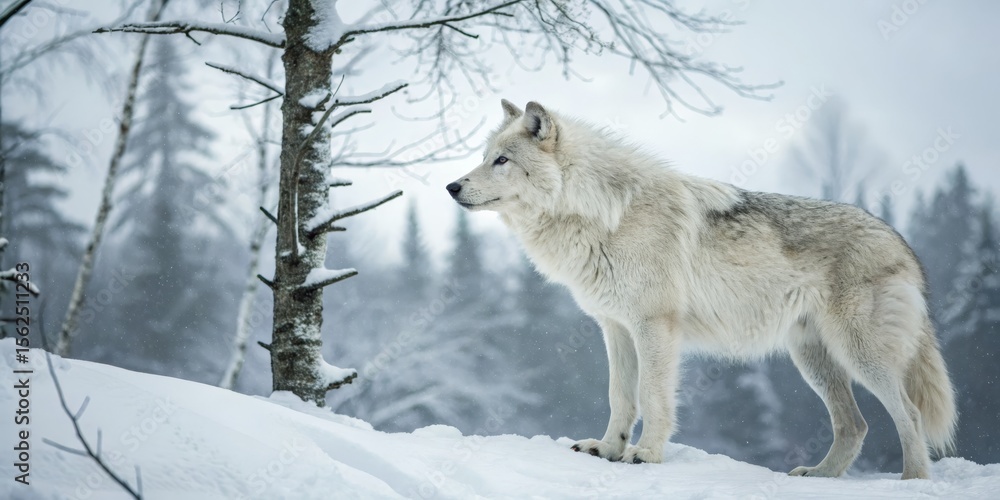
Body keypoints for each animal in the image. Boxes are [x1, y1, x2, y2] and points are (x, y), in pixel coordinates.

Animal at [446, 100, 957, 479]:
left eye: (501, 160)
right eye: (484, 157)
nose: (451, 186)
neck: (603, 213)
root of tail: (902, 244)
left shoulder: (654, 327)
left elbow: (653, 397)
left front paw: (646, 455)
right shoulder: (615, 328)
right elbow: (620, 397)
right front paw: (608, 449)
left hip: (859, 355)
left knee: (908, 416)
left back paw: (912, 482)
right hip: (813, 359)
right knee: (855, 424)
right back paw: (821, 476)